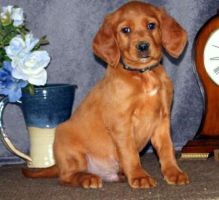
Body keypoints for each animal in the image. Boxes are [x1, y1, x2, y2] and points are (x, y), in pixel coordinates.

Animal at [23, 1, 189, 189]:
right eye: (126, 30)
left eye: (151, 25)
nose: (143, 46)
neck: (144, 75)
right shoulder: (121, 122)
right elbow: (130, 153)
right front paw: (139, 176)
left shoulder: (162, 119)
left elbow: (167, 149)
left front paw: (174, 172)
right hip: (68, 144)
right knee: (65, 176)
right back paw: (87, 178)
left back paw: (121, 175)